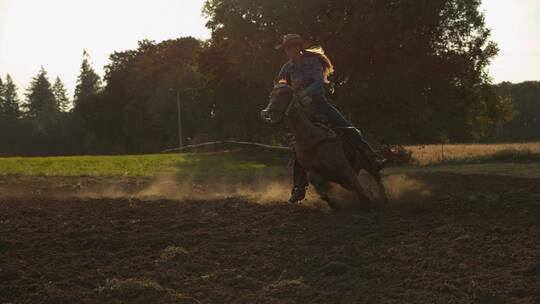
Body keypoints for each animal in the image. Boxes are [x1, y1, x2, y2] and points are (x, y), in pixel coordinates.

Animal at [260, 83, 386, 211]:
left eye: (286, 94)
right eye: (270, 95)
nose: (267, 113)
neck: (312, 137)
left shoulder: (344, 167)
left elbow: (356, 184)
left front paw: (367, 203)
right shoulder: (315, 173)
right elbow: (316, 185)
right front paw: (332, 203)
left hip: (367, 162)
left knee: (377, 177)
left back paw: (384, 199)